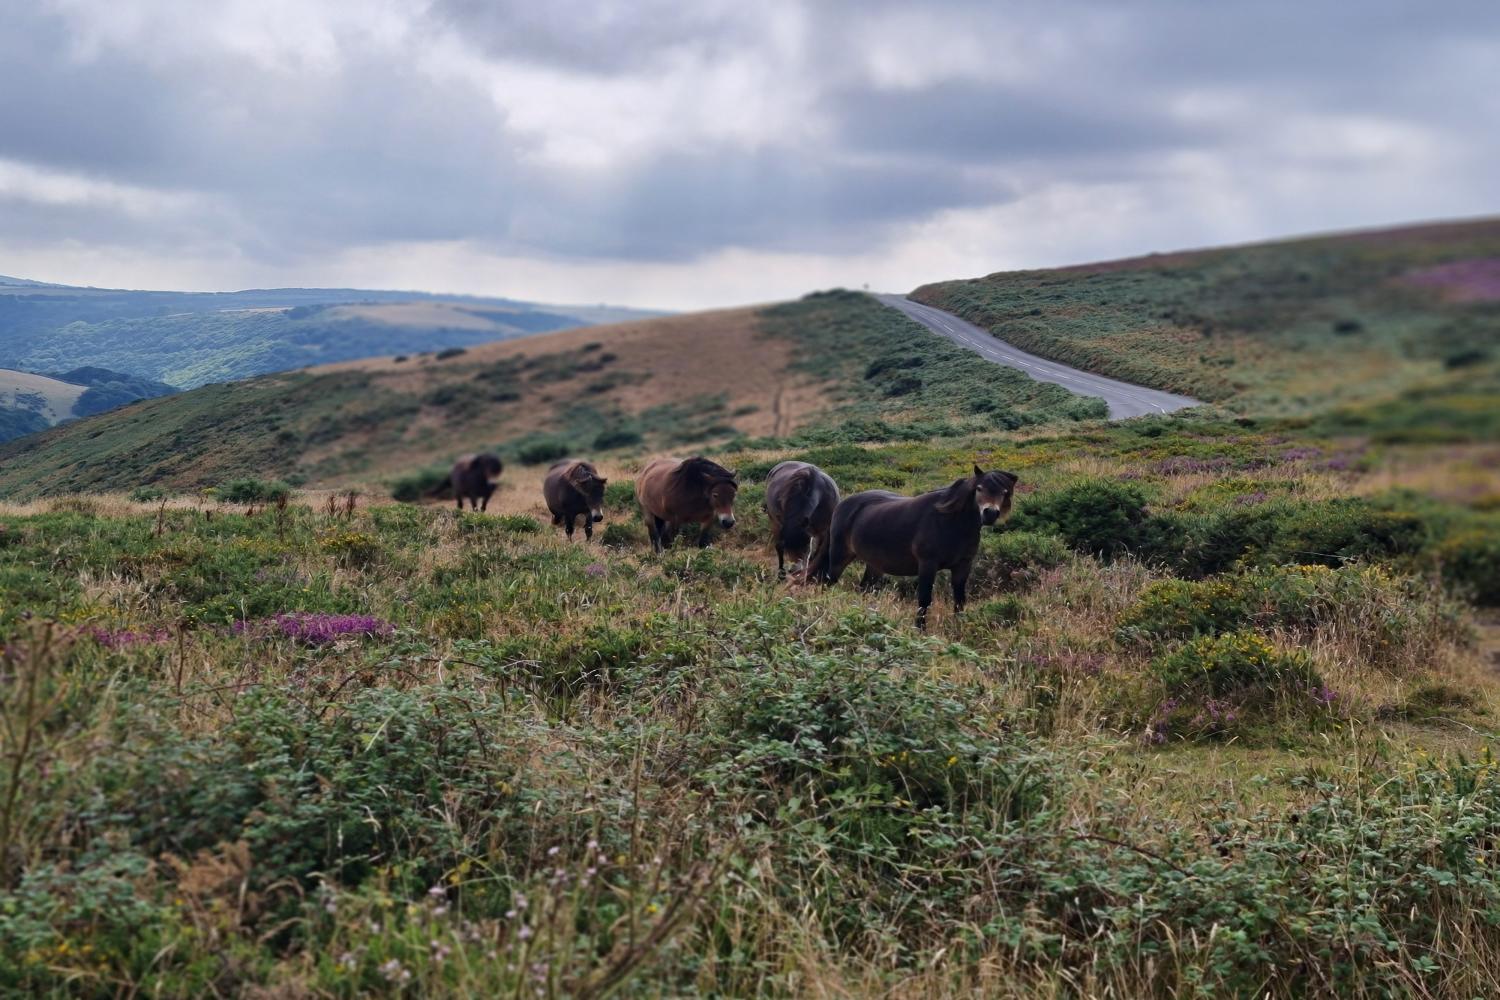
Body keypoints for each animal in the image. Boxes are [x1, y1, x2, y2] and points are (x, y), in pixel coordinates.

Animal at [816, 464, 1014, 629]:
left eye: (1004, 492)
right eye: (979, 489)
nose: (990, 513)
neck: (951, 522)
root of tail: (841, 504)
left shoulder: (963, 566)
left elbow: (959, 599)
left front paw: (959, 626)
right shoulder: (927, 564)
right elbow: (924, 599)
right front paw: (920, 629)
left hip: (874, 565)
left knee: (864, 588)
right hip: (840, 557)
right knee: (828, 582)